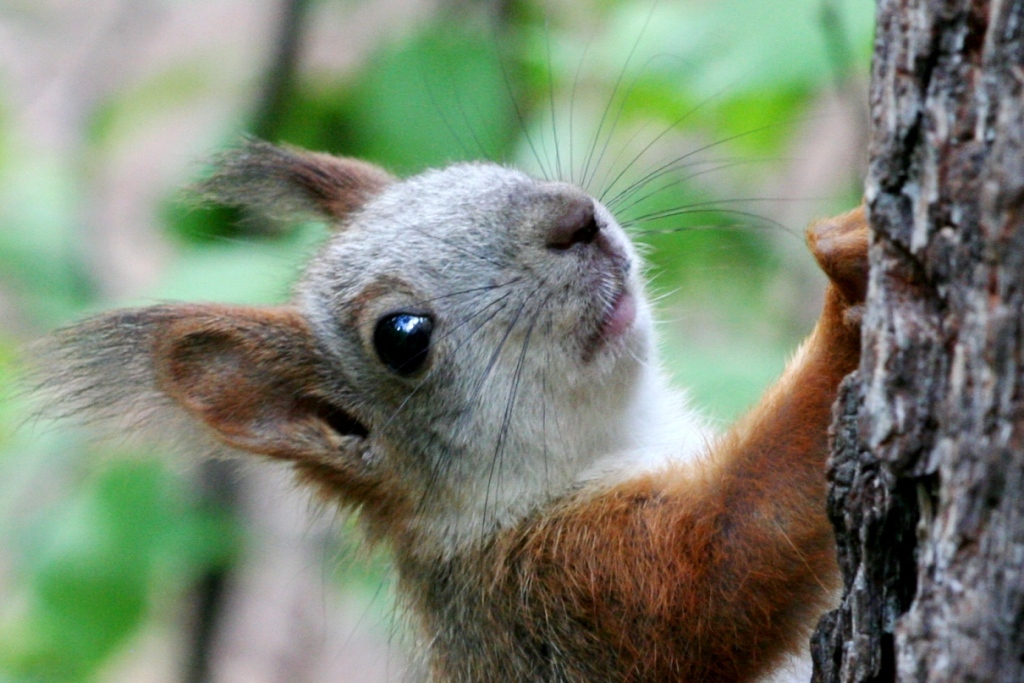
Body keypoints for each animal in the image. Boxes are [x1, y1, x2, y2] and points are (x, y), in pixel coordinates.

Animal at [37, 140, 864, 683]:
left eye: (490, 171)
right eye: (402, 337)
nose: (576, 218)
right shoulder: (558, 598)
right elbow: (722, 564)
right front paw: (847, 297)